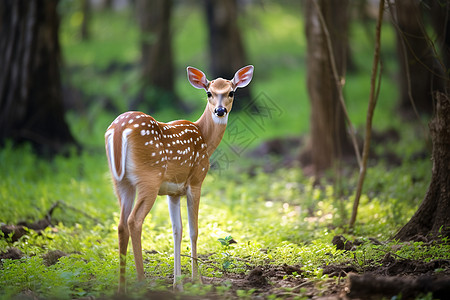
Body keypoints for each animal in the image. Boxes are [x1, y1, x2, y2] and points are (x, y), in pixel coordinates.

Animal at [104, 64, 255, 292]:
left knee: (121, 224)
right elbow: (194, 230)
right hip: (149, 178)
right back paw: (142, 283)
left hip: (120, 181)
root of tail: (120, 129)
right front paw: (196, 280)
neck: (205, 138)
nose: (220, 110)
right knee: (134, 221)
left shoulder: (172, 192)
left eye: (231, 92)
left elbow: (177, 230)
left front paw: (178, 284)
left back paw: (122, 288)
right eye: (209, 93)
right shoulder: (196, 182)